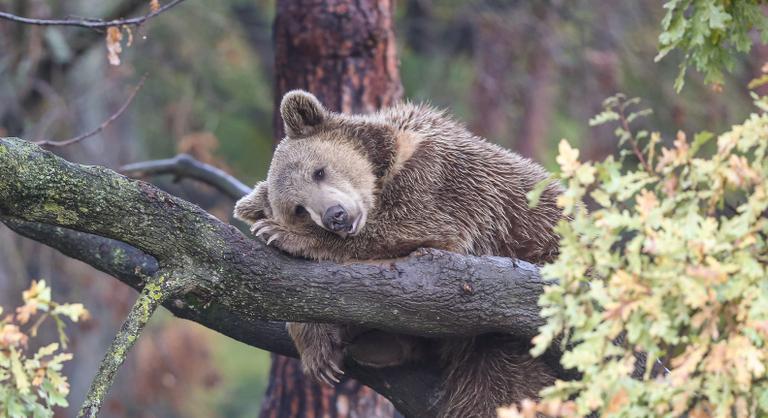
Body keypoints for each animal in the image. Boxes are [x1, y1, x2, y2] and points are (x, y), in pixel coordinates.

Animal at [234, 90, 564, 418]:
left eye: (319, 171)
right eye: (298, 209)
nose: (335, 216)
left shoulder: (442, 181)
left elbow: (411, 227)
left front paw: (278, 233)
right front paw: (320, 349)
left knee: (498, 382)